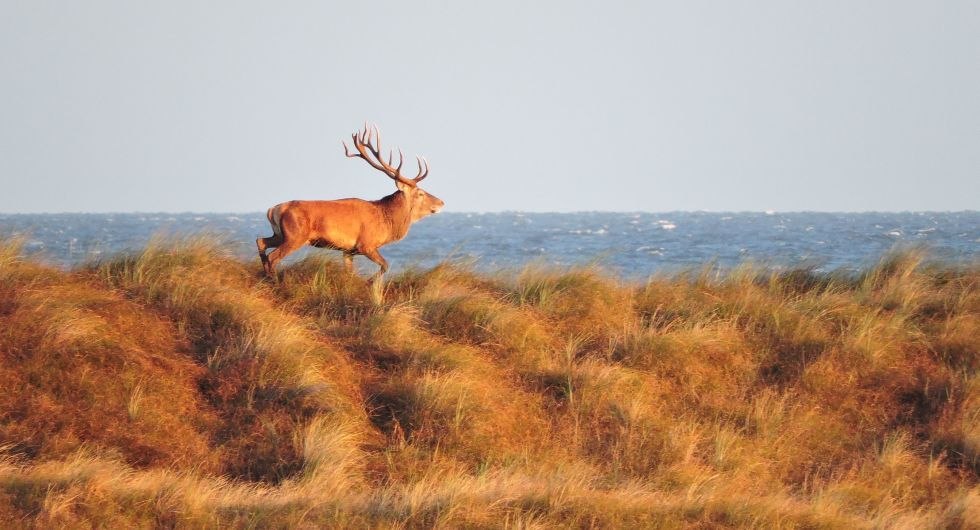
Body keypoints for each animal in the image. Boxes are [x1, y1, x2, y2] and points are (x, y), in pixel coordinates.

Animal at [256, 124, 444, 300]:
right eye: (420, 193)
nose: (442, 202)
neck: (386, 221)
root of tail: (273, 210)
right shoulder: (366, 244)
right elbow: (385, 265)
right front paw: (369, 283)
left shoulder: (348, 251)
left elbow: (350, 273)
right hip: (295, 235)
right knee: (273, 256)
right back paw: (275, 283)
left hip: (281, 234)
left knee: (261, 242)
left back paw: (266, 278)